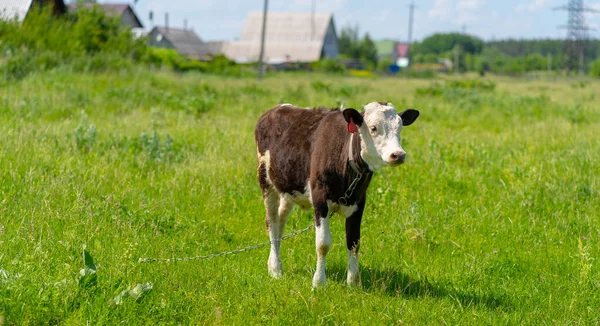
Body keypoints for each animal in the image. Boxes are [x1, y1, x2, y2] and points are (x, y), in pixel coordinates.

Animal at [255, 101, 420, 286]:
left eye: (400, 127)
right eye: (373, 128)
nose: (398, 155)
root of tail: (276, 108)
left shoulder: (359, 201)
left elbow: (354, 241)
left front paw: (353, 282)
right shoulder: (319, 198)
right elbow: (323, 243)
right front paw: (319, 282)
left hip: (288, 187)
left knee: (281, 221)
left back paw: (273, 263)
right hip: (265, 181)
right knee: (272, 222)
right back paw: (276, 269)